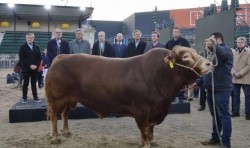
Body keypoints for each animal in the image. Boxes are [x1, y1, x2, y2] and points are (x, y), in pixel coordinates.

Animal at [45, 45, 213, 147]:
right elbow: (144, 128)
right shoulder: (142, 109)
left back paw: (66, 131)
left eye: (195, 52)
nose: (209, 63)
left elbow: (151, 128)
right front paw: (145, 143)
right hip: (57, 99)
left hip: (69, 99)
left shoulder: (155, 110)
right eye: (185, 56)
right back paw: (55, 137)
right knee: (54, 116)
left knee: (65, 114)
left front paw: (152, 141)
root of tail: (62, 57)